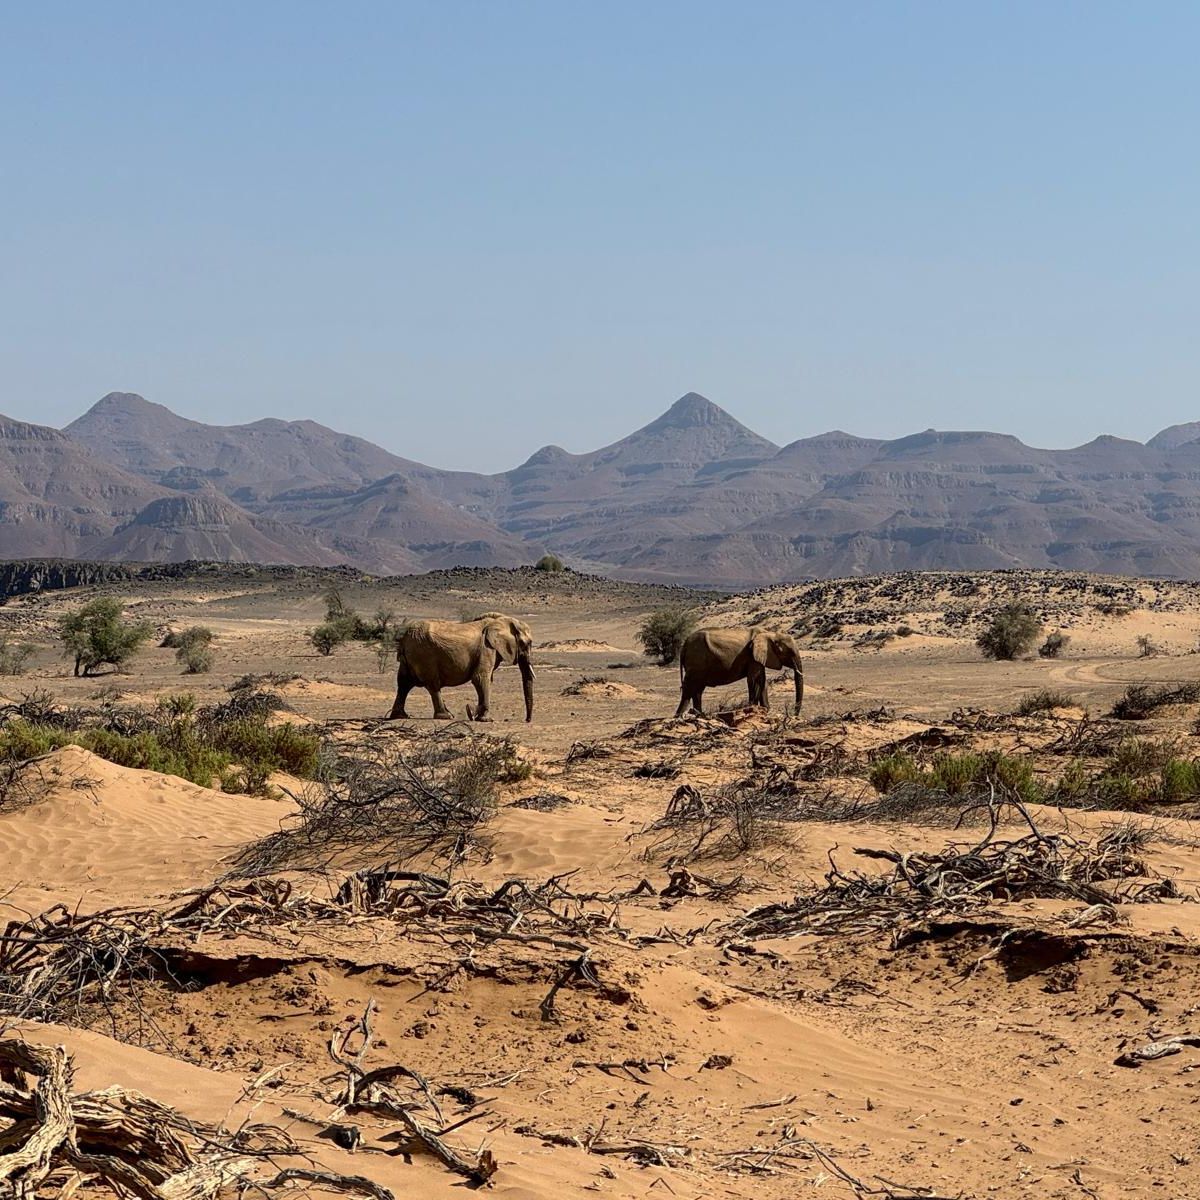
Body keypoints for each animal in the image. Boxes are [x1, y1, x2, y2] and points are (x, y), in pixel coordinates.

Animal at [388, 614, 535, 722]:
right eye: (527, 643)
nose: (527, 720)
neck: (500, 621)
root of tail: (404, 638)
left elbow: (485, 680)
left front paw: (474, 713)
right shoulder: (487, 648)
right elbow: (480, 678)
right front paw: (484, 718)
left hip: (410, 657)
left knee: (404, 684)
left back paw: (400, 716)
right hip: (424, 655)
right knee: (432, 685)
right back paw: (446, 716)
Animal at [674, 627, 804, 718]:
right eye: (790, 652)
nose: (794, 715)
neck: (770, 634)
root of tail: (684, 645)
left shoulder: (758, 658)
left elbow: (762, 680)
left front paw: (766, 710)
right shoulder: (752, 656)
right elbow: (753, 680)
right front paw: (752, 708)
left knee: (697, 690)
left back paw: (699, 715)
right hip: (697, 661)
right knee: (689, 688)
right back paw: (679, 717)